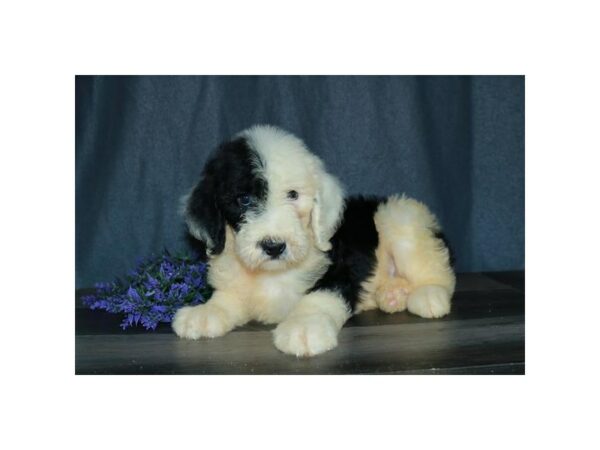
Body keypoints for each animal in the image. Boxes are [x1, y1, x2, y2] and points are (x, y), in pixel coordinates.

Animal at [172, 125, 454, 356]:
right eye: (244, 200)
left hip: (399, 218)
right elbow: (226, 297)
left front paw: (304, 327)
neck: (273, 273)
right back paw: (392, 294)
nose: (273, 246)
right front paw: (204, 313)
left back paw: (427, 295)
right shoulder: (236, 283)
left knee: (439, 274)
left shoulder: (340, 269)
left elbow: (319, 296)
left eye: (293, 195)